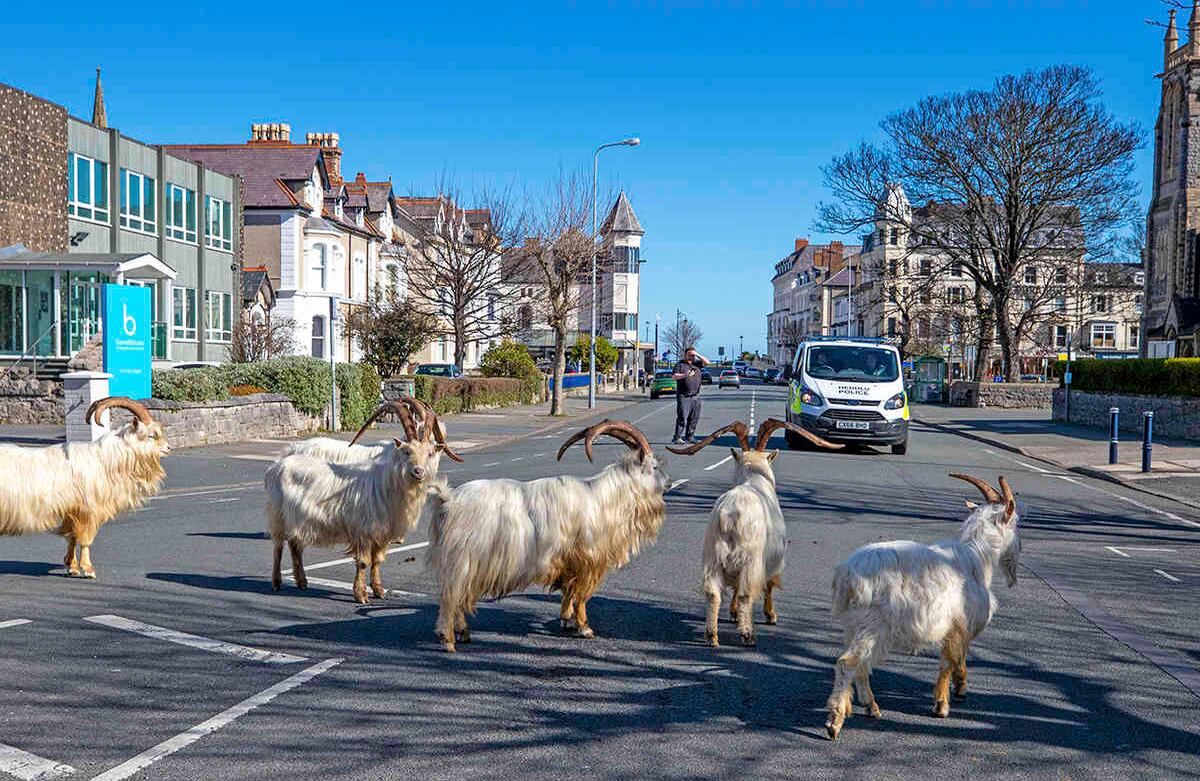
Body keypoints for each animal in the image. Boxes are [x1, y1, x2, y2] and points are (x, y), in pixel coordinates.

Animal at [0, 397, 168, 578]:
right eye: (152, 435)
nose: (168, 448)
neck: (105, 461)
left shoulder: (71, 510)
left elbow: (72, 537)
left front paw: (72, 567)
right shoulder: (87, 510)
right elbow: (85, 539)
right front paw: (88, 569)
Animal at [266, 399, 461, 604]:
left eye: (430, 452)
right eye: (407, 451)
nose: (418, 471)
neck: (386, 484)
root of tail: (278, 463)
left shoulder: (382, 533)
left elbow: (377, 561)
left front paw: (379, 591)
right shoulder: (363, 531)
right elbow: (363, 562)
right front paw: (360, 595)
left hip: (297, 519)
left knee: (295, 546)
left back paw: (302, 582)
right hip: (277, 515)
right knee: (278, 547)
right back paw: (277, 582)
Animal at [425, 419, 670, 651]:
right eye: (654, 466)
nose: (668, 482)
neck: (604, 499)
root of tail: (448, 500)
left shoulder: (568, 561)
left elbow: (568, 592)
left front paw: (567, 621)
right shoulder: (588, 560)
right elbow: (581, 595)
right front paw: (584, 628)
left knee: (458, 596)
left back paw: (463, 633)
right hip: (463, 560)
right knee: (451, 596)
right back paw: (448, 638)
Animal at [668, 418, 841, 647]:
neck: (754, 480)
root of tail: (730, 514)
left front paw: (733, 614)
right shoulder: (772, 559)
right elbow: (769, 585)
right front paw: (770, 616)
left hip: (713, 557)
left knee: (713, 594)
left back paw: (712, 636)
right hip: (750, 558)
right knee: (745, 594)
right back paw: (748, 635)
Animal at [823, 473, 1021, 740]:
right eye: (1016, 523)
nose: (1019, 550)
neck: (977, 556)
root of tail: (846, 575)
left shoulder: (955, 626)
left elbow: (957, 656)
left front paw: (960, 687)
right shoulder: (957, 623)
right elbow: (949, 661)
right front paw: (942, 705)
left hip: (854, 626)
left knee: (860, 665)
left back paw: (870, 706)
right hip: (875, 625)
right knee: (849, 663)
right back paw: (835, 721)